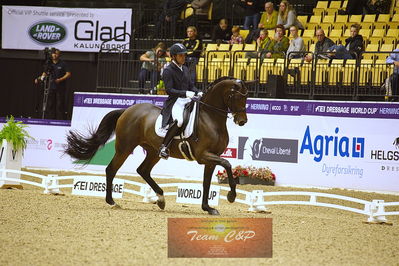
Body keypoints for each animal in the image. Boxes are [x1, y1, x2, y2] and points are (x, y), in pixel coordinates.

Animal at [65, 76, 250, 214]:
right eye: (238, 96)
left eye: (246, 97)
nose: (242, 121)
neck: (210, 118)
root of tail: (127, 110)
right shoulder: (203, 155)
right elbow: (227, 164)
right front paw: (231, 196)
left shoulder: (211, 158)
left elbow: (207, 182)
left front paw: (208, 208)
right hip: (125, 148)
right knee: (111, 169)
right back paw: (112, 202)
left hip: (153, 151)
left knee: (143, 170)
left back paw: (160, 199)